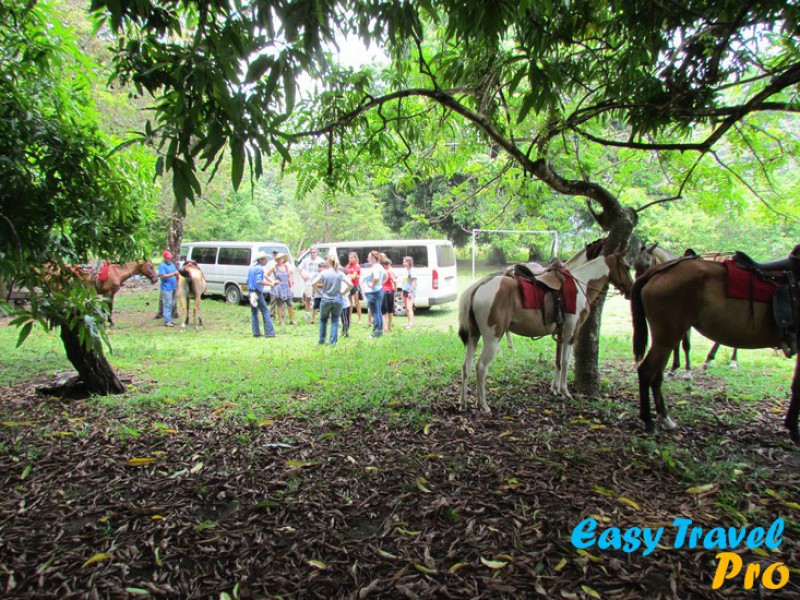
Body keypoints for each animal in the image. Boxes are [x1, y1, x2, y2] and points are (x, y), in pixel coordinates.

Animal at [459, 243, 634, 413]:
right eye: (627, 266)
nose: (630, 289)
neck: (579, 283)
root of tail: (479, 286)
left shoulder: (560, 334)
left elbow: (557, 361)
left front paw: (555, 389)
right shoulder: (571, 333)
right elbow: (565, 361)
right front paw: (565, 392)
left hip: (473, 336)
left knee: (466, 366)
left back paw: (463, 403)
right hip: (492, 339)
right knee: (481, 368)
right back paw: (484, 405)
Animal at [633, 243, 739, 371]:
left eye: (647, 264)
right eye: (634, 264)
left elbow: (685, 344)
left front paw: (687, 369)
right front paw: (674, 367)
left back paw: (732, 361)